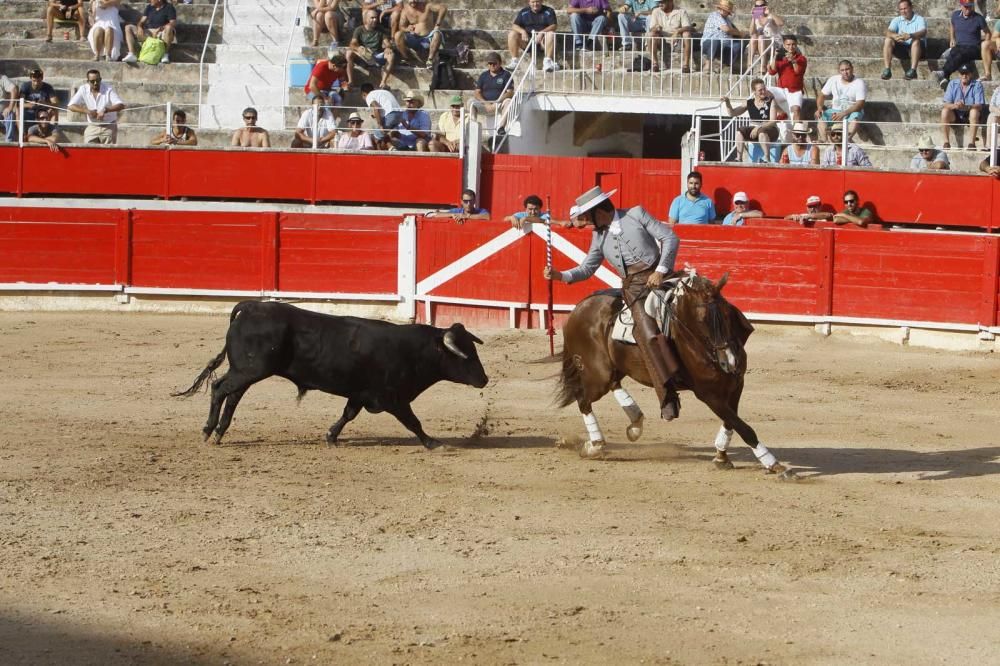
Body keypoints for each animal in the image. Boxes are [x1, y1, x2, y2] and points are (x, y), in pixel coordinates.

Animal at [175, 300, 488, 446]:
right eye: (466, 356)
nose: (484, 379)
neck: (413, 350)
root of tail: (251, 306)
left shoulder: (361, 394)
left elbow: (348, 414)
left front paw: (331, 436)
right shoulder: (393, 399)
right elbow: (413, 422)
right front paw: (433, 443)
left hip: (246, 371)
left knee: (232, 395)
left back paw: (219, 432)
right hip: (249, 370)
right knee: (220, 389)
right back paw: (208, 430)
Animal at [552, 272, 792, 474]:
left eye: (726, 314)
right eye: (702, 320)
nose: (730, 362)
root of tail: (580, 307)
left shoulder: (736, 384)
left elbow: (731, 421)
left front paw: (721, 457)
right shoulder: (708, 394)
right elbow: (742, 426)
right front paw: (774, 464)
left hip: (614, 369)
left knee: (612, 385)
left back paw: (635, 423)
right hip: (597, 373)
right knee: (584, 399)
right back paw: (596, 446)